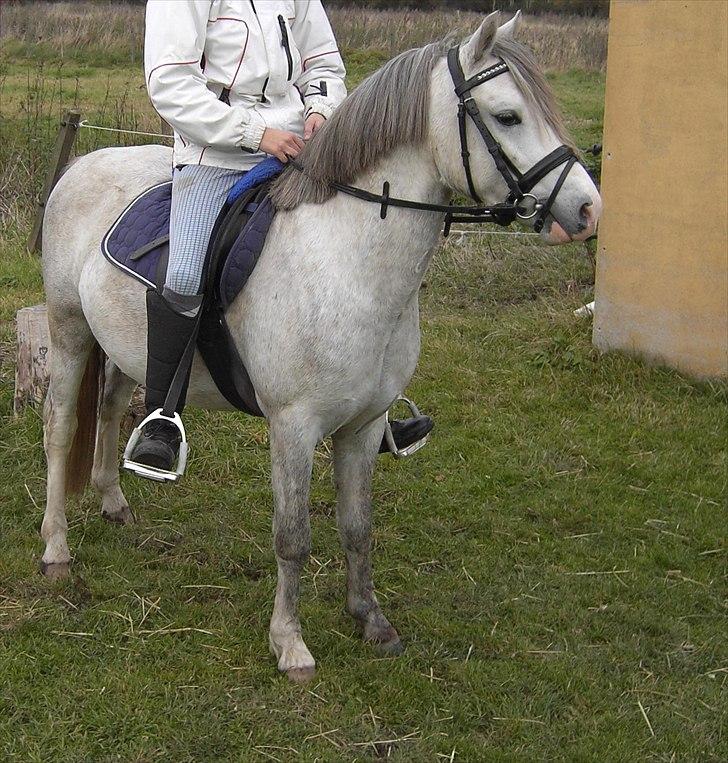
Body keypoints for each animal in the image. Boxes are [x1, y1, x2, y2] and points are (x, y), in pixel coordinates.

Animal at [39, 12, 601, 682]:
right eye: (509, 116)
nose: (588, 209)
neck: (346, 260)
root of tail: (81, 165)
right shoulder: (294, 426)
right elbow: (293, 536)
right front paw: (290, 644)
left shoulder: (364, 425)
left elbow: (357, 526)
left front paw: (372, 620)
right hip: (69, 330)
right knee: (61, 427)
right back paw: (55, 548)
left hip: (126, 347)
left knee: (107, 410)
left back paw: (114, 500)